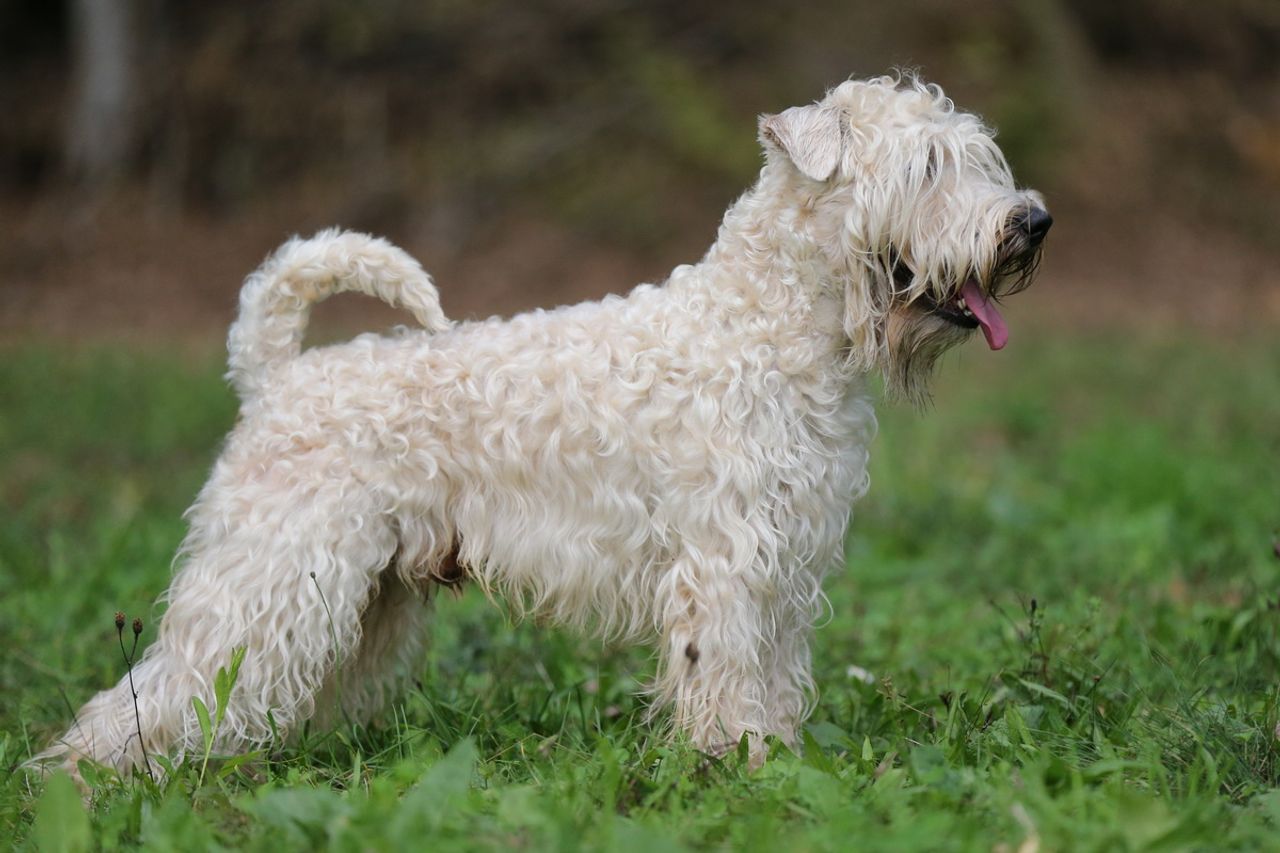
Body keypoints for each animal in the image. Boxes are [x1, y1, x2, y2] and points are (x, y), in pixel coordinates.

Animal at [37, 76, 1049, 773]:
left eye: (977, 157)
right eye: (925, 167)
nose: (1031, 221)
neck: (771, 327)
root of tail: (274, 374)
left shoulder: (785, 567)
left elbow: (771, 676)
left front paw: (779, 760)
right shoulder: (723, 565)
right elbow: (724, 676)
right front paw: (737, 767)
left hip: (363, 593)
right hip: (273, 572)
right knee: (163, 683)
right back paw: (84, 777)